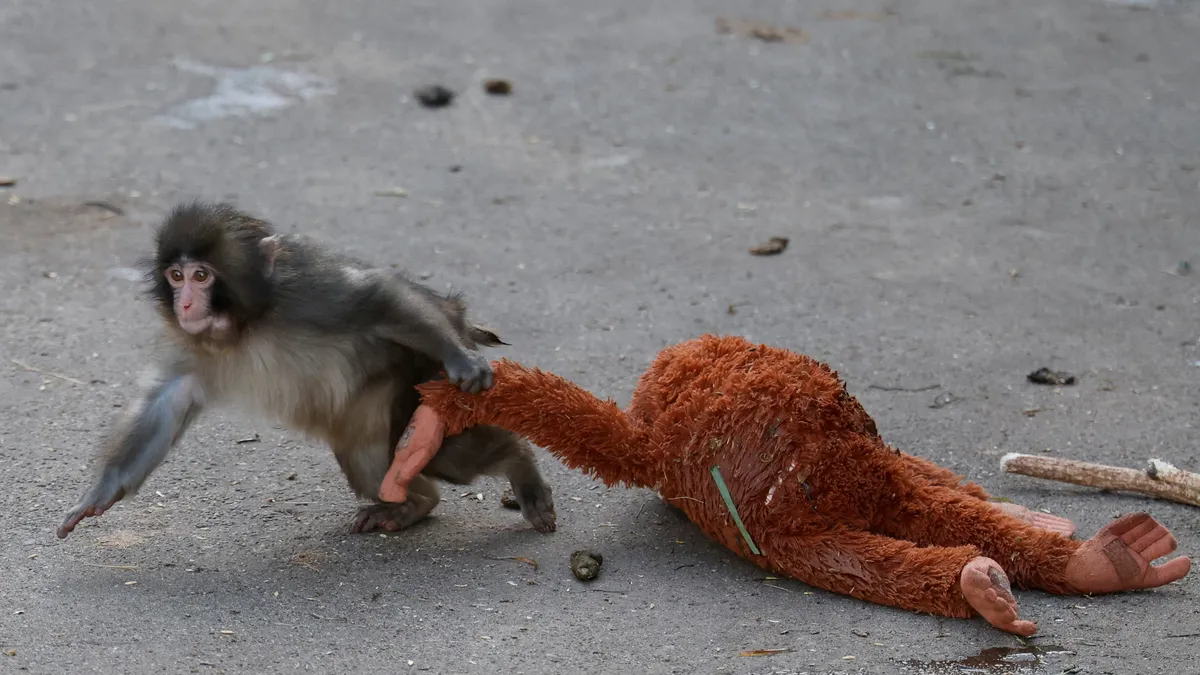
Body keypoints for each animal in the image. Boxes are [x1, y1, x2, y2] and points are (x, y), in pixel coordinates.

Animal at [56, 201, 556, 539]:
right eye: (175, 277)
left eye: (201, 276)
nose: (185, 304)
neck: (245, 325)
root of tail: (459, 316)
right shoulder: (191, 342)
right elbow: (167, 399)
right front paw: (100, 493)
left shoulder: (306, 292)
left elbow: (373, 298)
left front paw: (463, 360)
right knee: (371, 463)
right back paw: (413, 505)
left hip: (421, 374)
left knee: (454, 453)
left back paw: (520, 465)